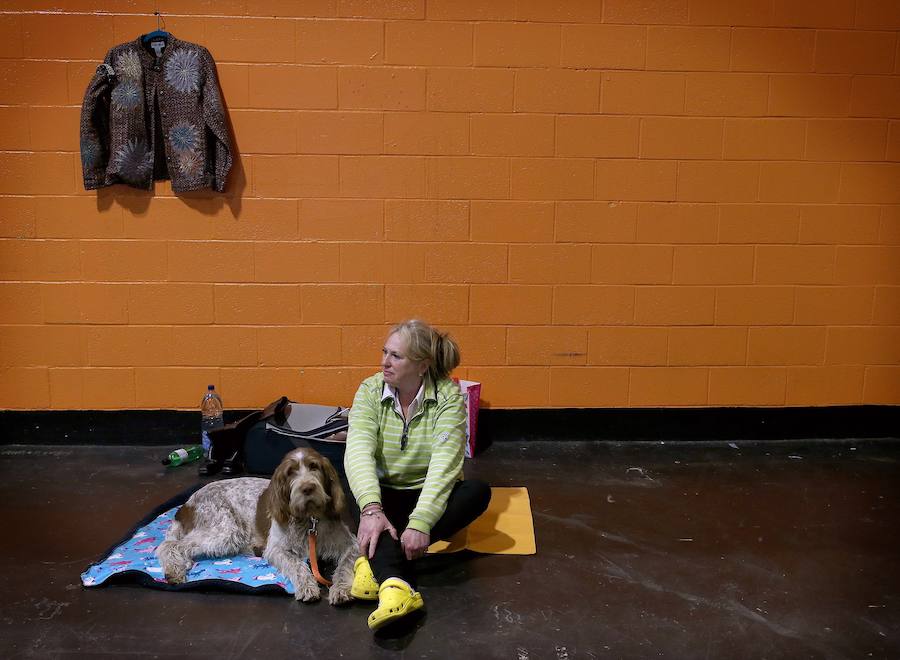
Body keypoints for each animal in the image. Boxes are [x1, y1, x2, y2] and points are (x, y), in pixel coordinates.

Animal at [155, 448, 356, 604]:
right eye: (290, 472)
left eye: (314, 466)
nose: (307, 488)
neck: (309, 520)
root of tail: (186, 505)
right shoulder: (276, 549)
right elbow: (297, 565)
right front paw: (307, 586)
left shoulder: (351, 544)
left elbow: (345, 565)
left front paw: (340, 588)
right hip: (227, 531)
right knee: (168, 545)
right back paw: (174, 570)